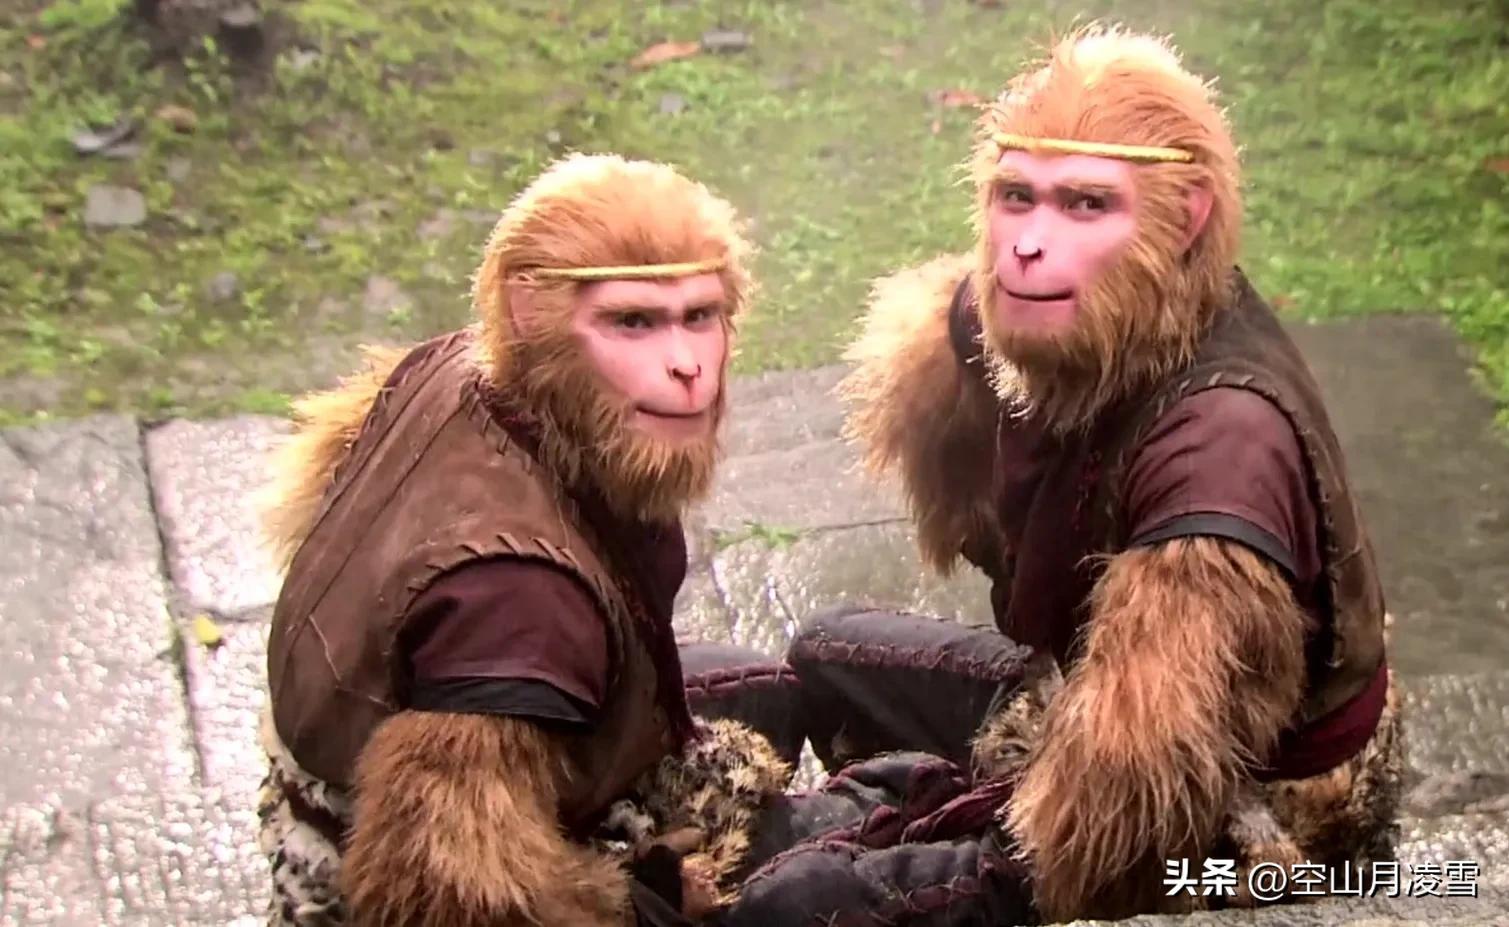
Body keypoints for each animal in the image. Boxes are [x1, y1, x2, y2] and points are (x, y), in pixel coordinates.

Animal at [253, 152, 796, 927]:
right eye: (633, 322)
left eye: (695, 317)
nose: (687, 369)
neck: (527, 421)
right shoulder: (516, 624)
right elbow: (456, 882)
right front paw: (676, 880)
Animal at [718, 24, 1402, 926]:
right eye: (1020, 198)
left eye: (1085, 204)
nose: (1024, 250)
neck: (1165, 338)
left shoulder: (1210, 494)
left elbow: (1132, 777)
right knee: (831, 651)